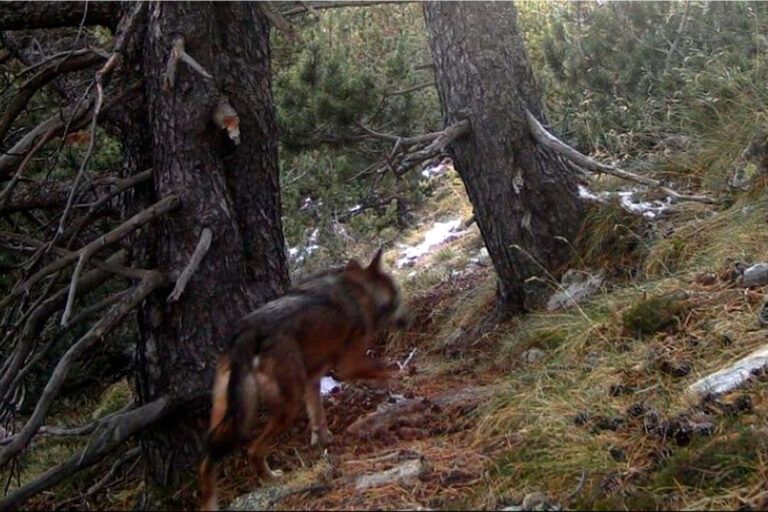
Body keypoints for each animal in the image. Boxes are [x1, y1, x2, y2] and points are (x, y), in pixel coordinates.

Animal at [199, 249, 408, 511]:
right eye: (397, 294)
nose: (407, 321)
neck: (359, 292)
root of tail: (248, 331)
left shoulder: (313, 380)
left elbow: (318, 418)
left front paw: (324, 443)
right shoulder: (348, 367)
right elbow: (383, 369)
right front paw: (398, 381)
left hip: (227, 413)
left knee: (207, 459)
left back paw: (209, 503)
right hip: (286, 406)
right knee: (253, 450)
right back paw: (273, 480)